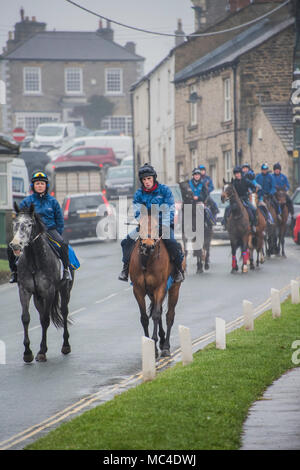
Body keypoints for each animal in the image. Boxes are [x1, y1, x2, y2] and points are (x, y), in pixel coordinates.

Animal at [9, 203, 74, 364]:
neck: (34, 262)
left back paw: (66, 346)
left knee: (64, 311)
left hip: (64, 290)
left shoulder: (49, 291)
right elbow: (26, 318)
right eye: (15, 223)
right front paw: (27, 353)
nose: (15, 245)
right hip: (38, 297)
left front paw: (42, 352)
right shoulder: (24, 290)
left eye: (29, 224)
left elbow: (45, 320)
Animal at [129, 215, 185, 358]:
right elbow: (144, 318)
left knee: (169, 315)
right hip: (150, 293)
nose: (147, 245)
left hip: (174, 288)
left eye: (156, 225)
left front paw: (154, 344)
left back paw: (166, 347)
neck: (147, 261)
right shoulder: (138, 290)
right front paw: (150, 346)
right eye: (139, 225)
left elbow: (155, 315)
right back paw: (162, 339)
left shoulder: (160, 288)